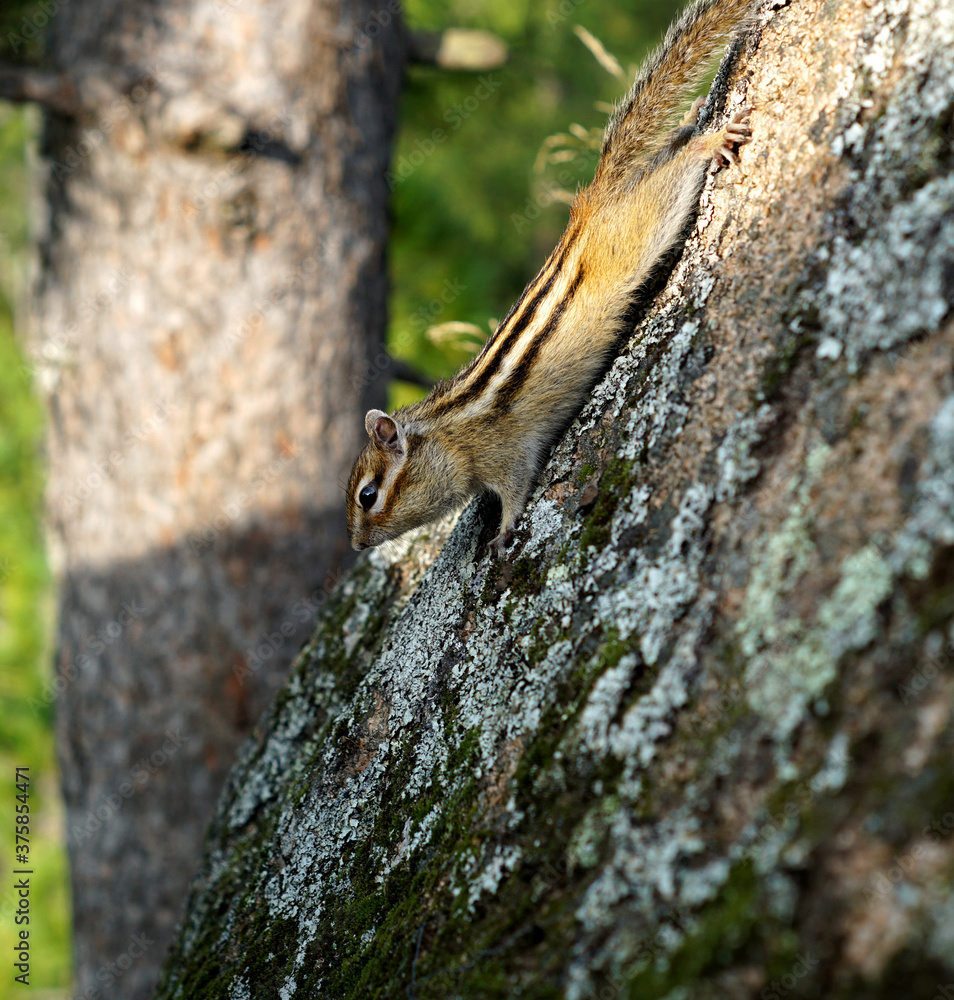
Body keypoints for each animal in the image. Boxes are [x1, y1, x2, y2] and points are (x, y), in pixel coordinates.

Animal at [347, 0, 761, 557]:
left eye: (368, 495)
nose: (356, 545)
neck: (446, 433)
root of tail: (590, 205)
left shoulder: (504, 453)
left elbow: (515, 488)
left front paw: (502, 534)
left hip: (645, 222)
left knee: (673, 175)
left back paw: (708, 140)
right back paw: (692, 119)